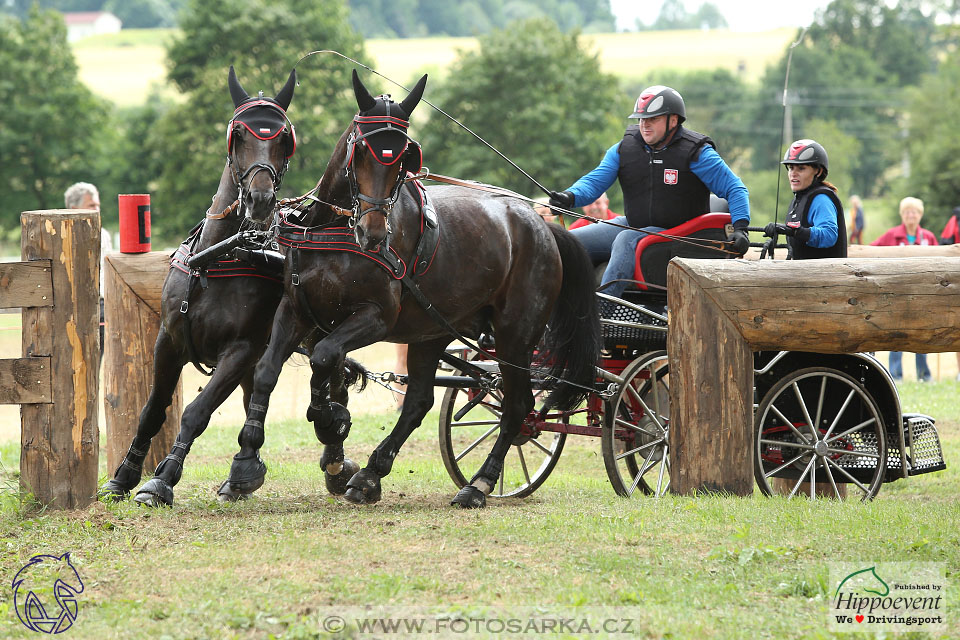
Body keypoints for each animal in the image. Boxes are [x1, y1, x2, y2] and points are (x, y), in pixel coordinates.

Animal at [100, 65, 364, 504]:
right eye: (238, 134)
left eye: (284, 140)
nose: (260, 199)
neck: (220, 256)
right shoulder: (168, 341)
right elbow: (153, 409)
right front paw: (124, 475)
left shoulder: (240, 350)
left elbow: (196, 412)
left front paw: (162, 478)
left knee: (333, 384)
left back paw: (335, 464)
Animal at [226, 70, 600, 508]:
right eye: (360, 151)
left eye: (404, 157)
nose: (373, 233)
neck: (334, 232)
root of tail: (542, 225)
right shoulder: (297, 309)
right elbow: (268, 371)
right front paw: (245, 463)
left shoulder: (376, 318)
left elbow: (324, 357)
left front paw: (330, 420)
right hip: (432, 330)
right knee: (420, 401)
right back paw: (370, 475)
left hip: (515, 335)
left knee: (517, 405)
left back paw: (480, 482)